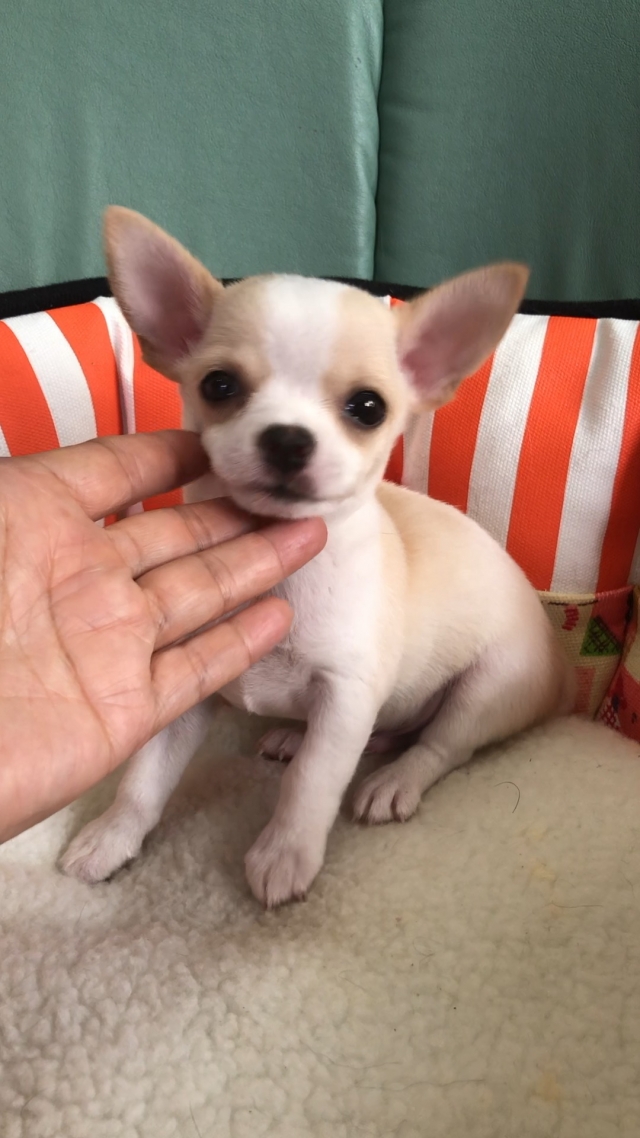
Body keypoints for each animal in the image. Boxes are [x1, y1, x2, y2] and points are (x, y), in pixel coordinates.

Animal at [60, 207, 574, 906]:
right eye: (219, 385)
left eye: (368, 407)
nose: (287, 438)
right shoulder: (190, 698)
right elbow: (145, 778)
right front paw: (112, 837)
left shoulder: (345, 698)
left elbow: (311, 784)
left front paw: (284, 854)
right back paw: (299, 735)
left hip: (487, 688)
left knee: (440, 747)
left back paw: (393, 780)